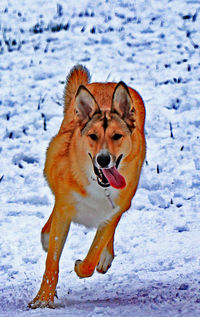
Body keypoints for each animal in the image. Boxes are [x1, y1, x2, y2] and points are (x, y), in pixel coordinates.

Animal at [28, 64, 145, 308]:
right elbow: (52, 260)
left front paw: (81, 265)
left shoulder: (114, 209)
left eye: (117, 136)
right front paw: (43, 299)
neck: (98, 186)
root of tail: (106, 84)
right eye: (92, 136)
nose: (103, 159)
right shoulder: (64, 207)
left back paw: (105, 257)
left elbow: (93, 255)